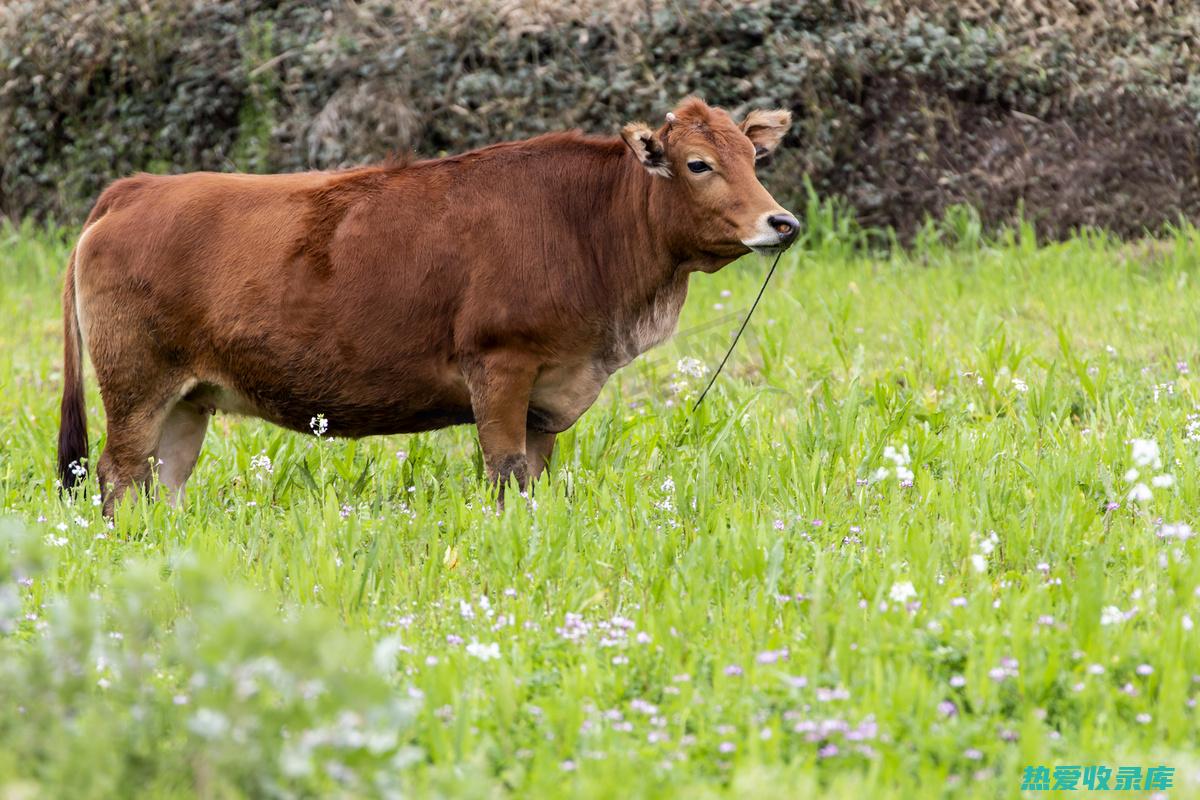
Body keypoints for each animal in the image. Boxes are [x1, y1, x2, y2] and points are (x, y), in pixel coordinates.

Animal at [60, 98, 801, 513]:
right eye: (699, 163)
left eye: (754, 156)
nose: (782, 222)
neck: (587, 225)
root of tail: (139, 187)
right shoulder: (500, 366)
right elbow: (505, 474)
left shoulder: (552, 392)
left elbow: (534, 476)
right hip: (136, 383)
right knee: (119, 473)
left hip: (189, 398)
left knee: (163, 480)